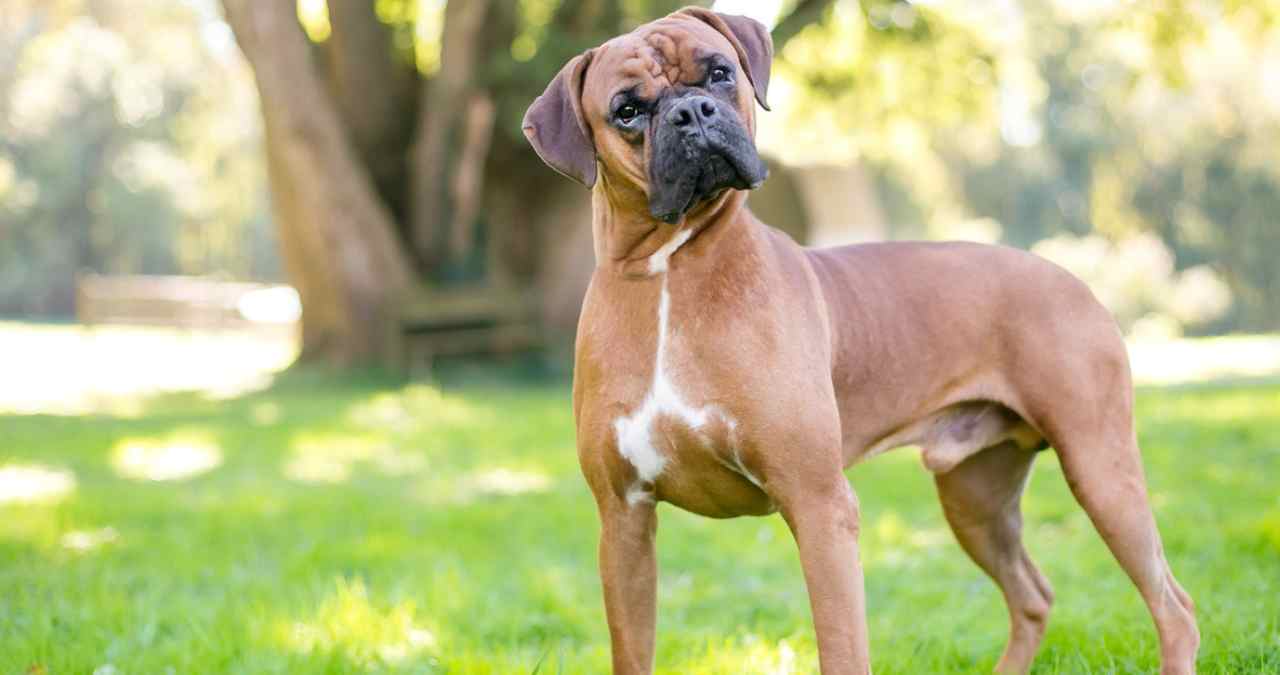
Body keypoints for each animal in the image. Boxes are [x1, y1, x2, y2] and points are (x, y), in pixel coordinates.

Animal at [519, 6, 1198, 675]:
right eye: (627, 110)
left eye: (718, 73)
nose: (693, 112)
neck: (670, 271)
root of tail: (1071, 278)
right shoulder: (624, 521)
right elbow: (632, 648)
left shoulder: (819, 507)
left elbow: (842, 646)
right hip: (977, 500)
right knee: (1033, 596)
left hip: (1099, 470)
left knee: (1173, 605)